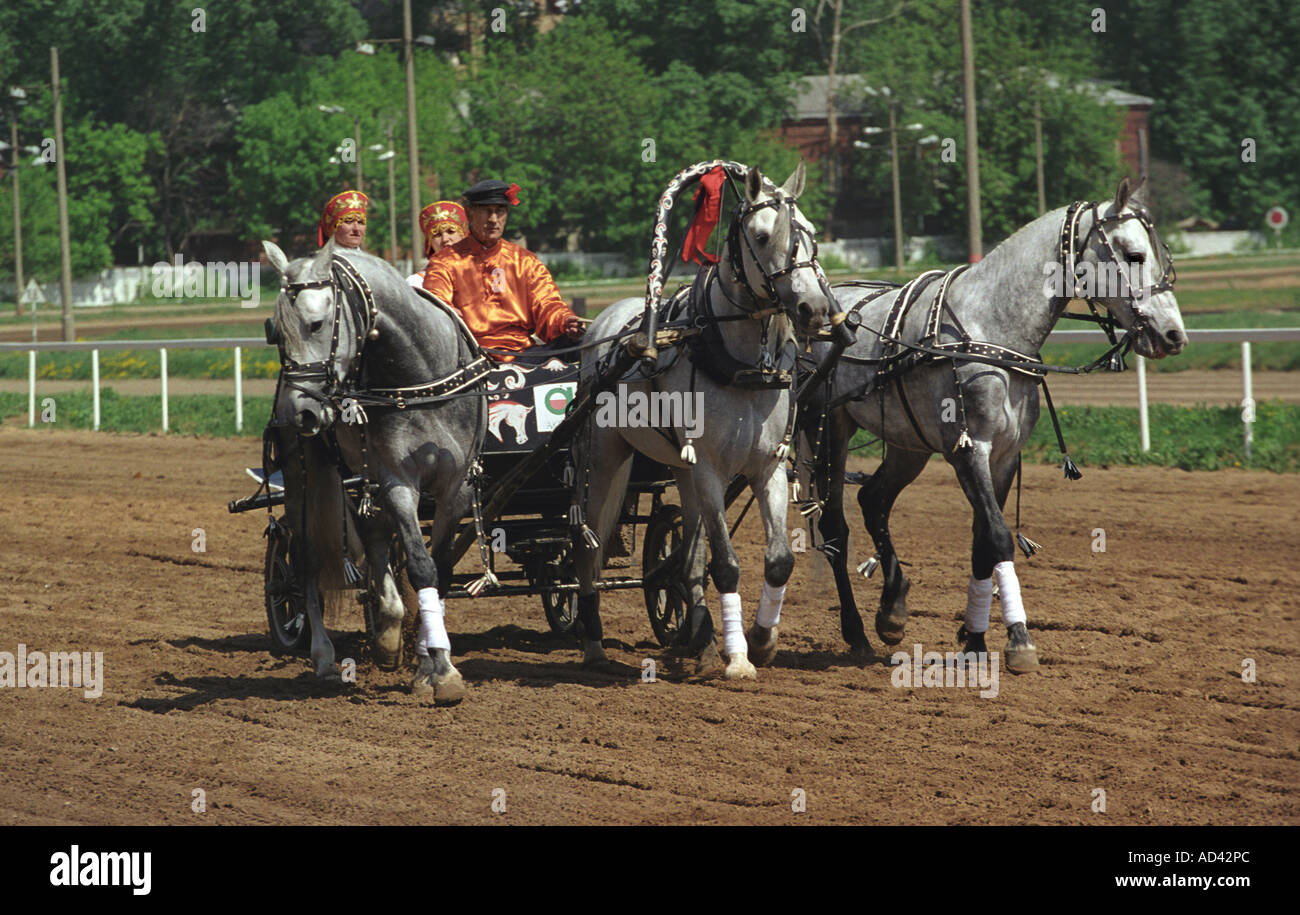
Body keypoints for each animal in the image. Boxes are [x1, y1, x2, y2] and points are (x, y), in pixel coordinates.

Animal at [263, 239, 488, 701]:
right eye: (277, 333)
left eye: (316, 324)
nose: (298, 412)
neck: (422, 379)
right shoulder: (397, 481)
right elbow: (420, 566)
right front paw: (442, 668)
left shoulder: (456, 486)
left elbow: (440, 568)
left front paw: (427, 662)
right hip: (303, 480)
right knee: (307, 562)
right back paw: (326, 656)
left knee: (377, 540)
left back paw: (387, 631)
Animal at [572, 162, 842, 681]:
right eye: (761, 236)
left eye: (811, 233)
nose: (814, 309)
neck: (741, 368)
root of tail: (605, 323)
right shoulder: (713, 470)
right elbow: (728, 565)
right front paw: (737, 659)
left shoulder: (767, 467)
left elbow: (777, 560)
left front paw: (761, 641)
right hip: (606, 456)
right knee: (589, 548)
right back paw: (592, 641)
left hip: (682, 467)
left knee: (688, 557)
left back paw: (697, 636)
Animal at [811, 175, 1190, 670]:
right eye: (1133, 254)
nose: (1174, 334)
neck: (992, 329)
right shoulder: (970, 448)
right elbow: (997, 535)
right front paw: (1018, 638)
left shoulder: (1006, 455)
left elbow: (980, 544)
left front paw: (974, 637)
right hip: (826, 429)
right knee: (834, 526)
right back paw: (855, 630)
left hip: (908, 445)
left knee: (874, 500)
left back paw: (892, 609)